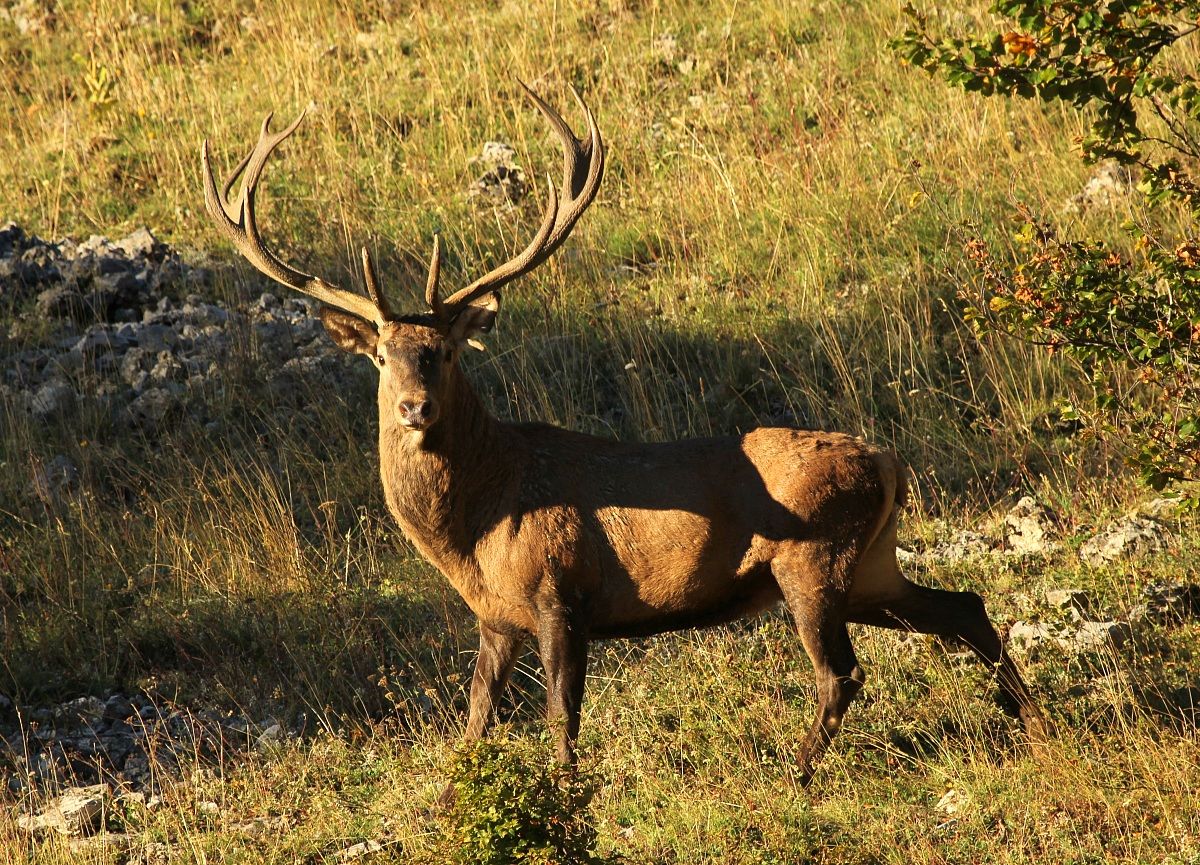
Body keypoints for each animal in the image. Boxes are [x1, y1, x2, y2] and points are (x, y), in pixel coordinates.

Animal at [200, 82, 1049, 793]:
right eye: (381, 354)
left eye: (440, 351)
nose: (412, 406)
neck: (477, 520)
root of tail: (891, 461)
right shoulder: (495, 615)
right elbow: (474, 717)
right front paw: (455, 796)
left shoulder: (560, 587)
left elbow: (561, 713)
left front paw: (567, 792)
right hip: (870, 565)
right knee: (964, 605)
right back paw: (1035, 723)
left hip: (813, 557)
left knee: (842, 672)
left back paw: (796, 772)